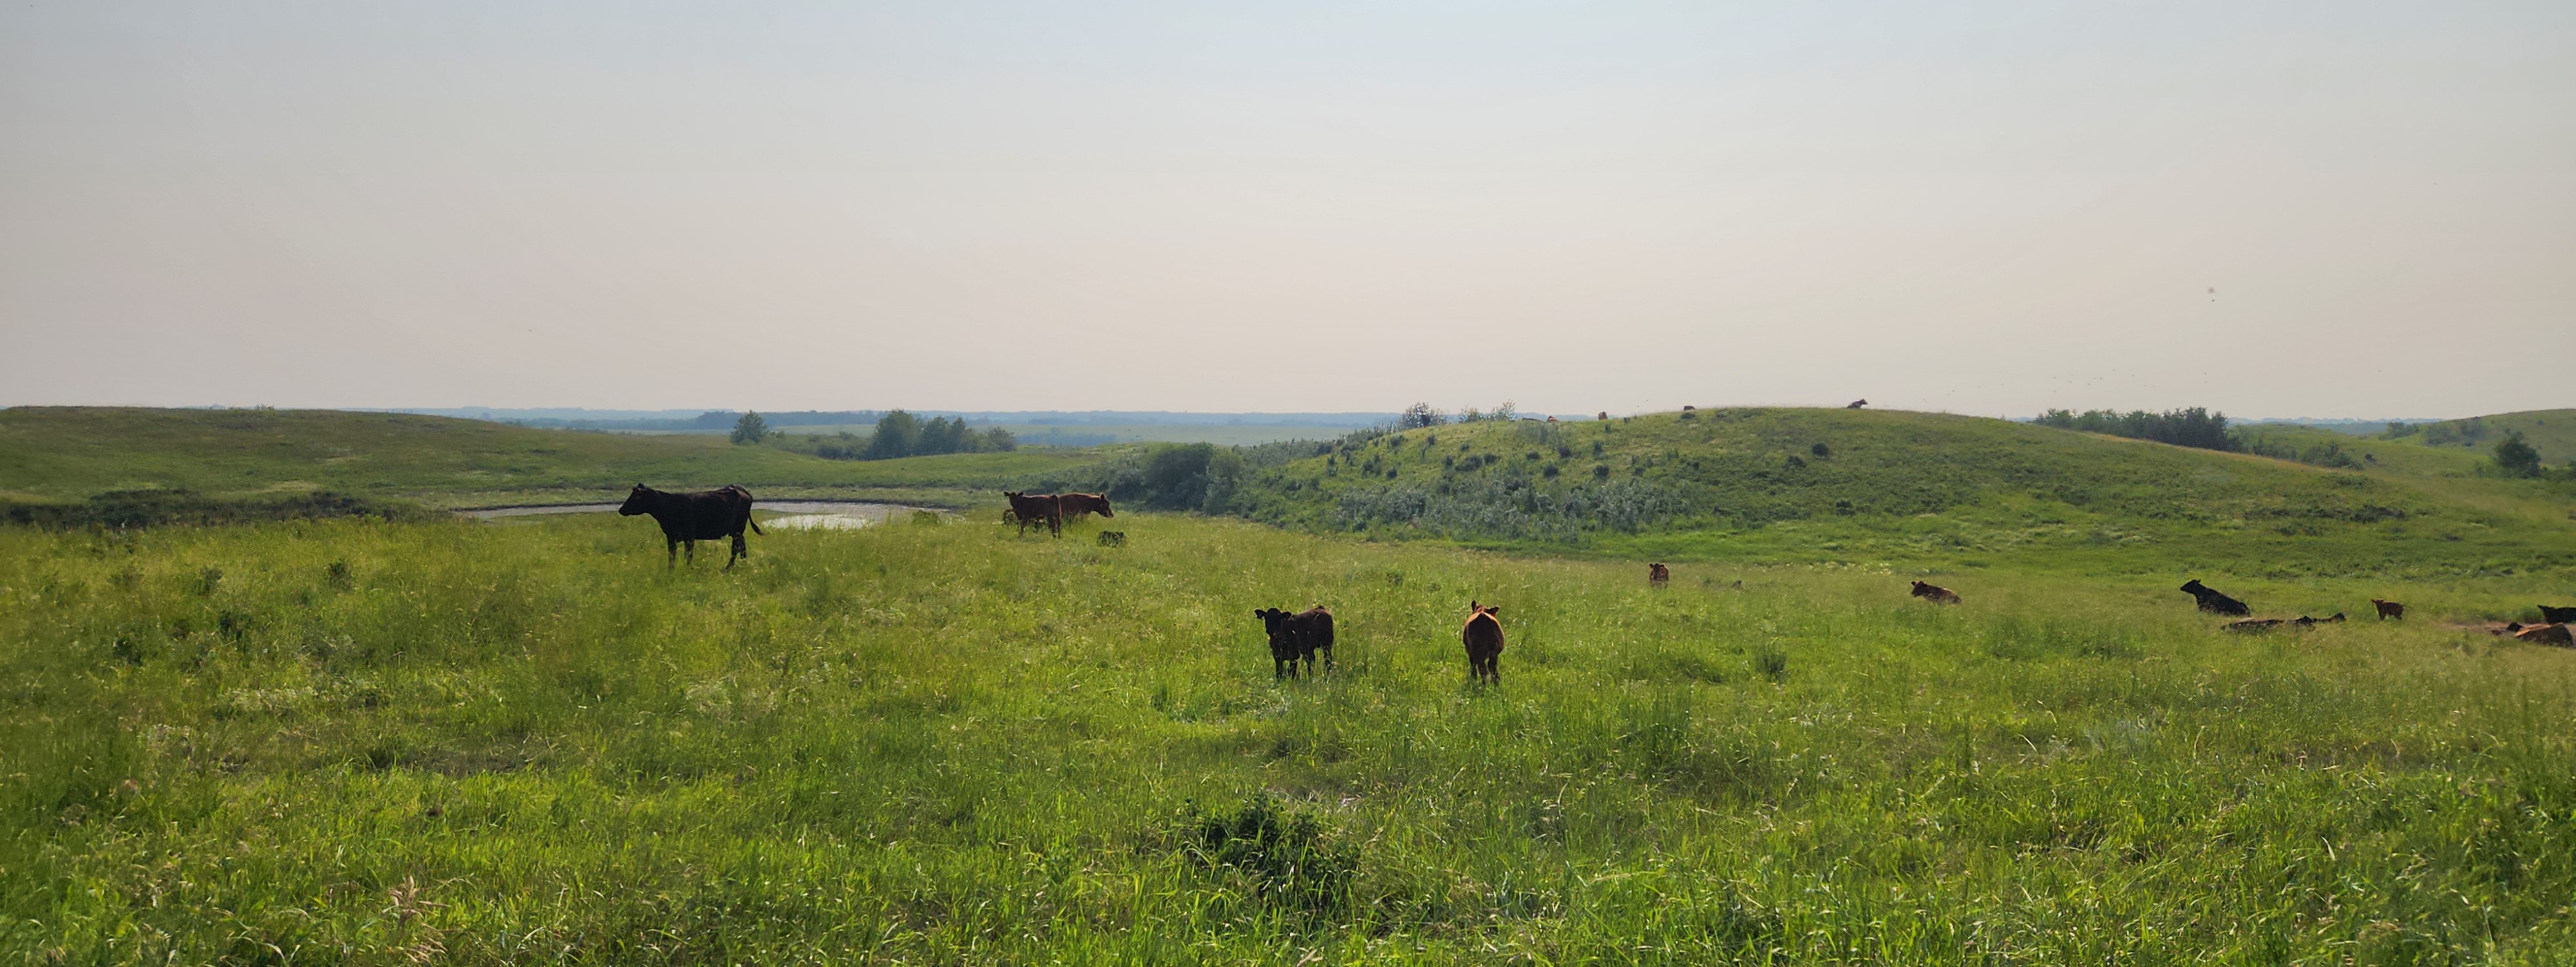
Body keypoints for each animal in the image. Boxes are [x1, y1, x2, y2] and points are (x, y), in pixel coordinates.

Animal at [618, 484, 762, 568]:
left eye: (637, 497)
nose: (621, 509)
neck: (669, 507)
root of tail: (741, 490)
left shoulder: (689, 537)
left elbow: (688, 556)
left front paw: (687, 570)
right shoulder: (670, 536)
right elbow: (671, 556)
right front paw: (671, 571)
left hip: (738, 529)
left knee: (735, 548)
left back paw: (728, 568)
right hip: (737, 531)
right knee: (742, 545)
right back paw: (742, 563)